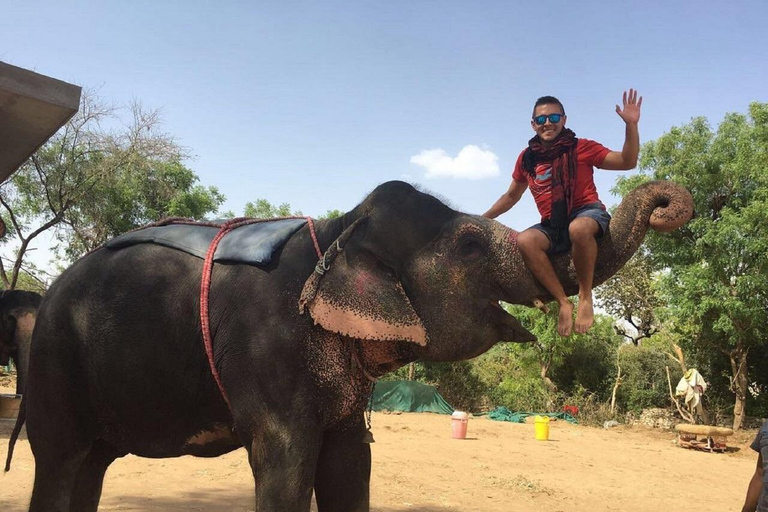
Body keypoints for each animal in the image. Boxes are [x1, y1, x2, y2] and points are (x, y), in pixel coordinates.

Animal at [5, 180, 692, 512]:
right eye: (471, 247)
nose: (668, 206)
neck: (339, 229)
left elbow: (348, 464)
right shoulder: (268, 351)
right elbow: (287, 464)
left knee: (90, 467)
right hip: (55, 364)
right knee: (61, 462)